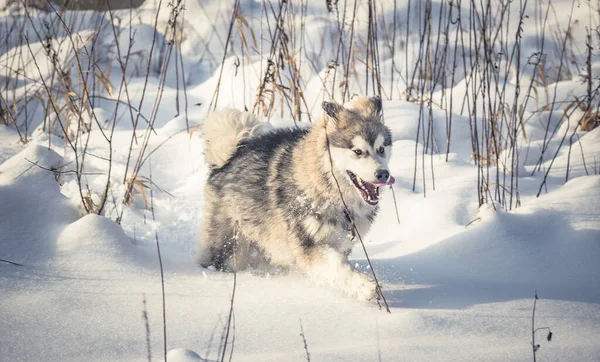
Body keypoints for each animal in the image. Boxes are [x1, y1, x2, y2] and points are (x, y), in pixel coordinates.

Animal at [196, 96, 394, 300]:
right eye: (358, 151)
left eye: (381, 149)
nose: (383, 174)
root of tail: (229, 159)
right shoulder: (309, 243)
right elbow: (336, 266)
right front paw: (365, 286)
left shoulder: (341, 242)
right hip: (228, 244)